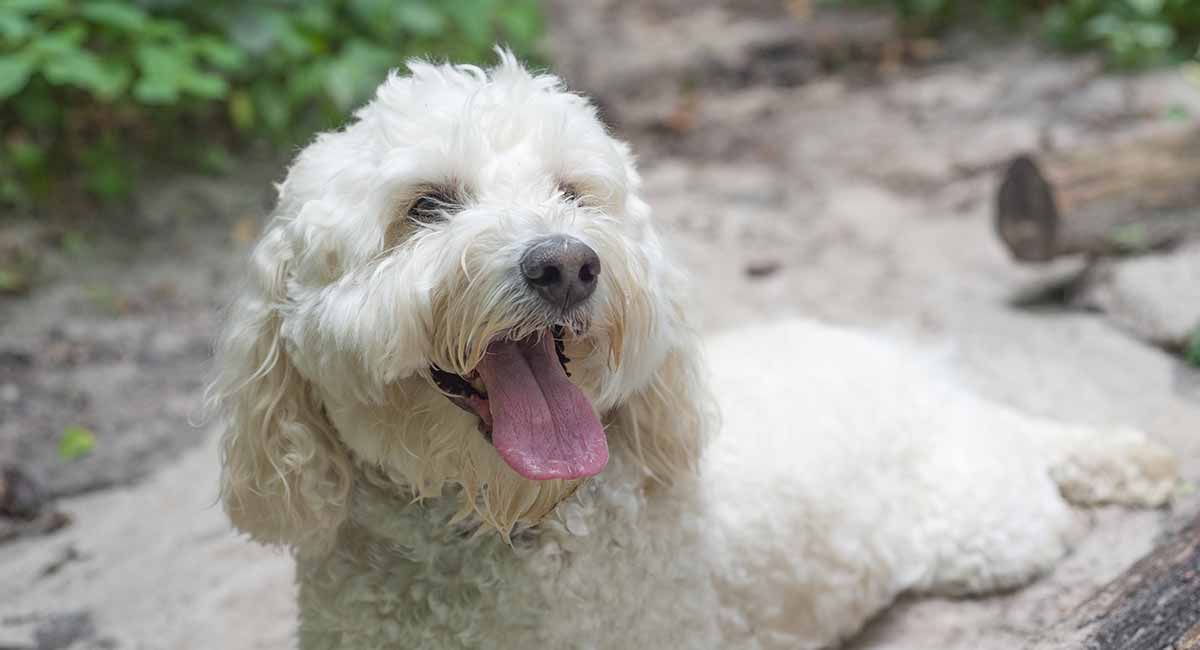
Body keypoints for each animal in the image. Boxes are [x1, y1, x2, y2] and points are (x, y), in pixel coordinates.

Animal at [208, 52, 1180, 650]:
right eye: (426, 206)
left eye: (574, 192)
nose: (567, 264)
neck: (509, 526)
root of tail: (938, 384)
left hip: (987, 531)